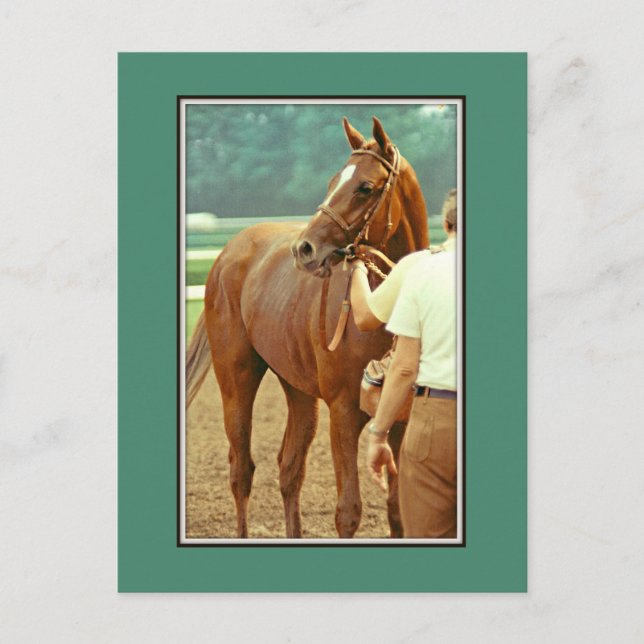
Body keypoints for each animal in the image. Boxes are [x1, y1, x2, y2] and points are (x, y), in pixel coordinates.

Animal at [186, 116, 429, 538]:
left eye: (365, 187)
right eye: (333, 182)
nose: (305, 248)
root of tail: (228, 253)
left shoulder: (398, 419)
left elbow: (398, 512)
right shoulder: (343, 412)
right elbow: (348, 512)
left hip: (299, 391)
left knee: (290, 470)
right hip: (236, 380)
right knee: (241, 470)